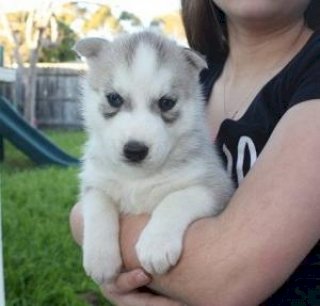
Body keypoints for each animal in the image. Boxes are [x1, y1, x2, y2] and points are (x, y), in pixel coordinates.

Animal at [75, 31, 235, 284]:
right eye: (114, 98)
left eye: (166, 102)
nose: (135, 150)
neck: (138, 178)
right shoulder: (94, 183)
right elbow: (98, 207)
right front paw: (100, 258)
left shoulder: (216, 186)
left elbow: (176, 199)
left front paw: (156, 244)